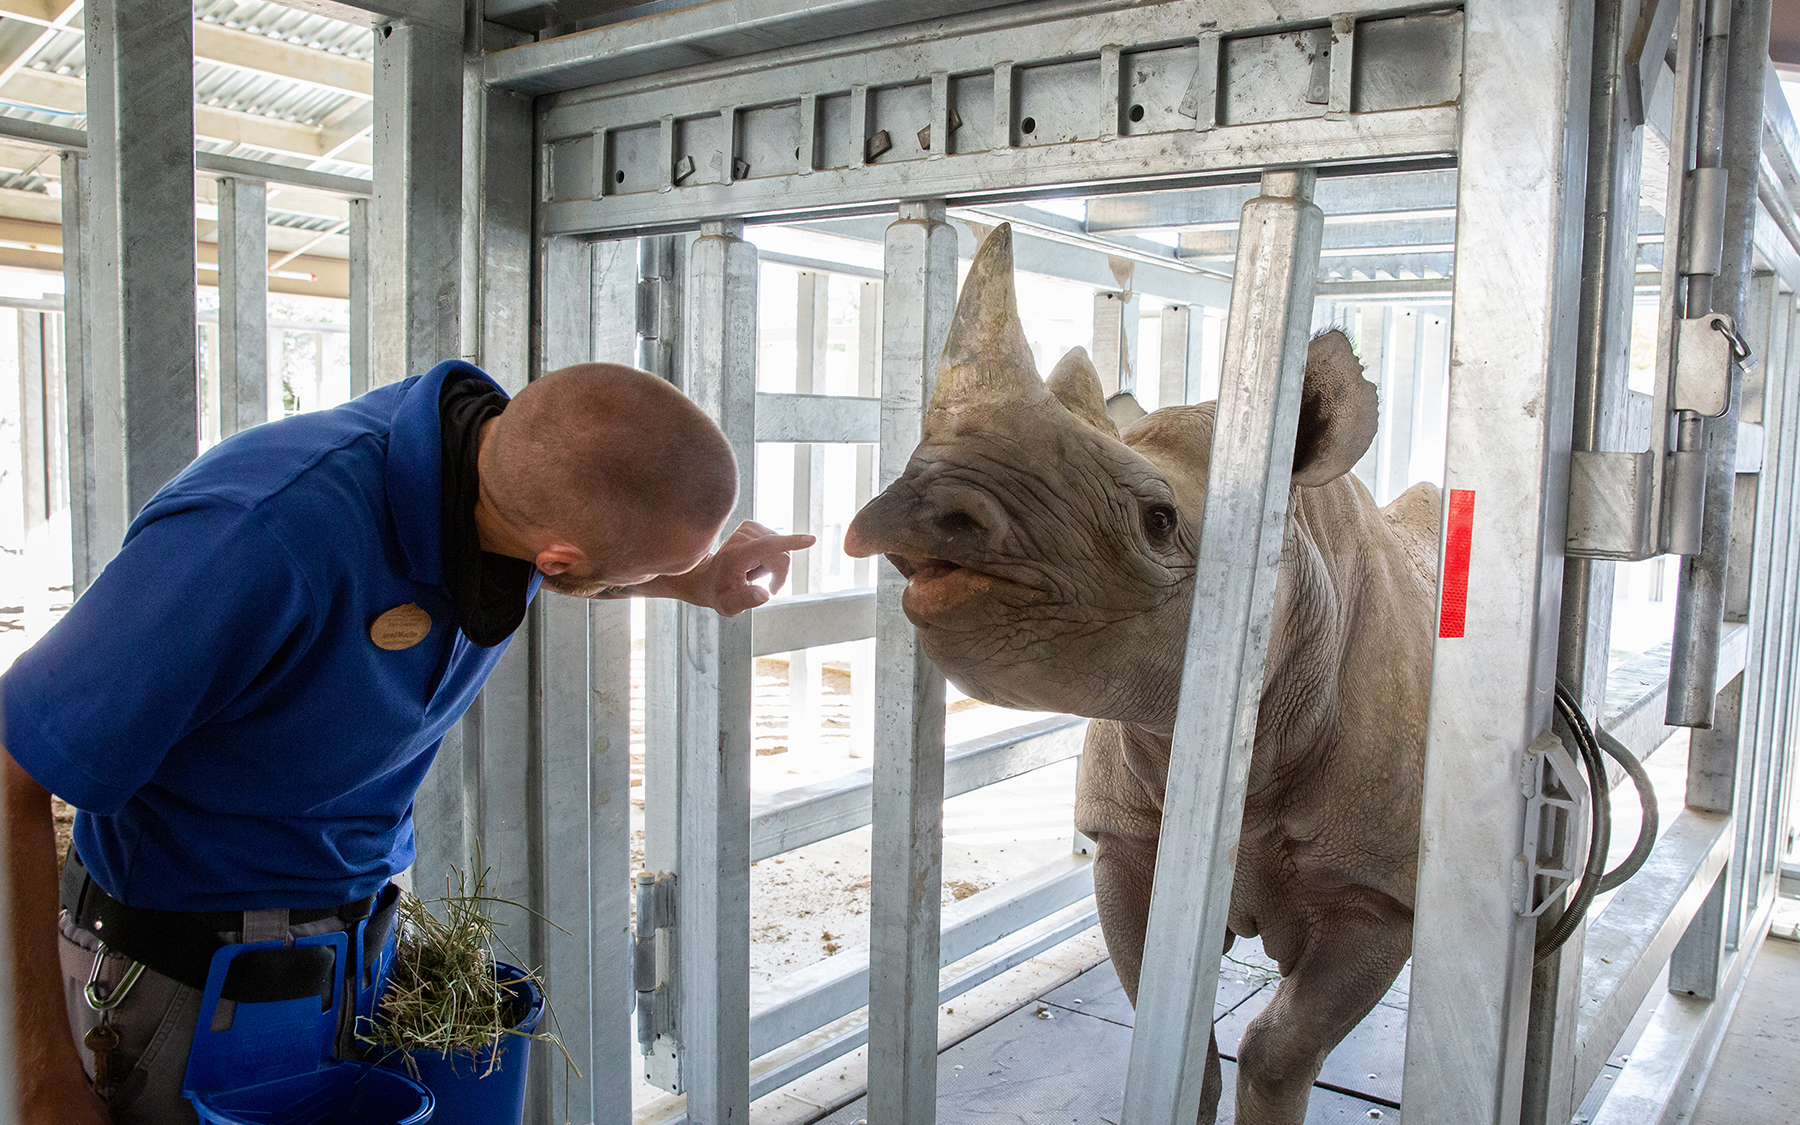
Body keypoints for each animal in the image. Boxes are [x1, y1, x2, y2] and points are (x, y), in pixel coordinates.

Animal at [844, 224, 1440, 1124]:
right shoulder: (1125, 839)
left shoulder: (1378, 889)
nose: (916, 513)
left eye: (1159, 522)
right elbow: (1178, 1039)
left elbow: (1280, 1048)